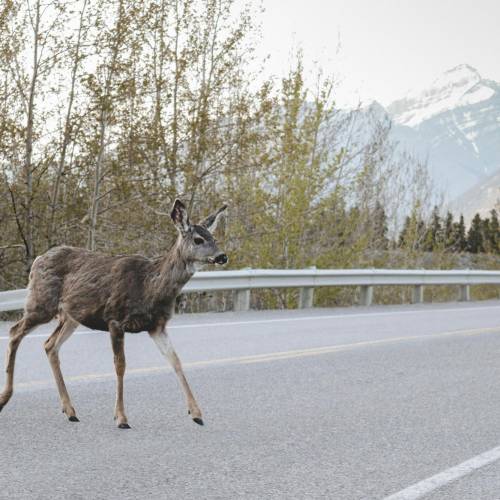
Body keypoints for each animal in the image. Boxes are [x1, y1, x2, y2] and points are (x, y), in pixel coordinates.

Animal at [0, 199, 229, 430]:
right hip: (41, 303)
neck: (150, 287)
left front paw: (197, 413)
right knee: (15, 332)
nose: (222, 256)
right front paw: (121, 417)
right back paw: (5, 398)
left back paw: (70, 410)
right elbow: (120, 365)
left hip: (71, 316)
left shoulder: (157, 325)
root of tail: (37, 260)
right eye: (198, 239)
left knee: (49, 345)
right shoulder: (115, 319)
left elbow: (175, 360)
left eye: (214, 238)